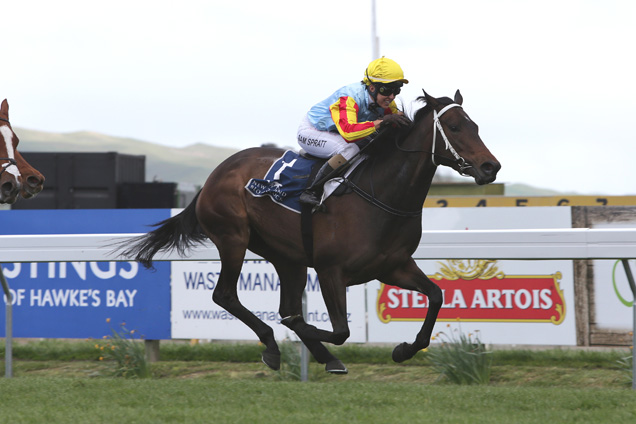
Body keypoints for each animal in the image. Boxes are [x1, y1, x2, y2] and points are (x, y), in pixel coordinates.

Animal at [120, 91, 502, 372]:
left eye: (475, 125)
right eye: (453, 126)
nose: (490, 166)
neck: (381, 194)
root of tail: (214, 175)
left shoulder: (393, 266)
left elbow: (436, 296)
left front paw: (403, 350)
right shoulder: (331, 270)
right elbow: (339, 330)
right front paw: (311, 337)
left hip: (287, 257)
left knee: (283, 305)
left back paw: (319, 356)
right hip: (233, 238)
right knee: (227, 296)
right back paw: (275, 347)